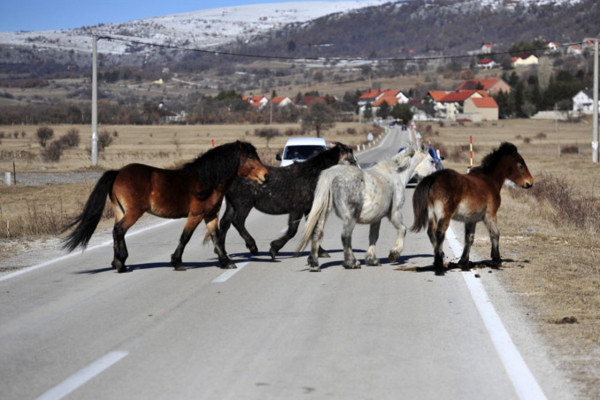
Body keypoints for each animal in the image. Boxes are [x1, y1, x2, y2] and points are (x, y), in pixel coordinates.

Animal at [62, 141, 268, 272]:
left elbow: (216, 237)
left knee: (116, 231)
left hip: (120, 211)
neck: (207, 180)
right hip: (133, 213)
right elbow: (185, 237)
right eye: (250, 157)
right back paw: (121, 263)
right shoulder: (196, 214)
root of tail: (118, 172)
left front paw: (225, 262)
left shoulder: (210, 215)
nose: (265, 175)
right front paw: (177, 262)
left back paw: (118, 262)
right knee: (119, 230)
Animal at [217, 142, 354, 260]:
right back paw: (252, 247)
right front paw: (273, 249)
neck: (312, 175)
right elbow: (292, 231)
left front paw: (321, 252)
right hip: (244, 204)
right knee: (237, 222)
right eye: (351, 160)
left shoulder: (308, 209)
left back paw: (223, 254)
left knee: (224, 223)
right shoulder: (297, 209)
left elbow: (312, 229)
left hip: (232, 205)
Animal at [296, 144, 434, 272]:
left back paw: (314, 263)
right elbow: (402, 229)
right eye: (432, 161)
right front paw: (394, 254)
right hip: (350, 217)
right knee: (345, 236)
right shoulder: (395, 213)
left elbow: (374, 236)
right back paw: (352, 262)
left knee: (317, 233)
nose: (433, 178)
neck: (396, 174)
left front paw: (372, 259)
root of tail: (331, 175)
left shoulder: (376, 218)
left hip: (324, 213)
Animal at [412, 141, 536, 276]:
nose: (530, 182)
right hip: (444, 215)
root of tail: (434, 178)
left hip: (431, 213)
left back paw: (441, 261)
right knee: (439, 233)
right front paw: (497, 259)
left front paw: (463, 262)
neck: (489, 181)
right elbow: (495, 233)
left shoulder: (471, 219)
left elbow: (469, 238)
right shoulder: (490, 215)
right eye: (521, 165)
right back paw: (440, 266)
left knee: (431, 233)